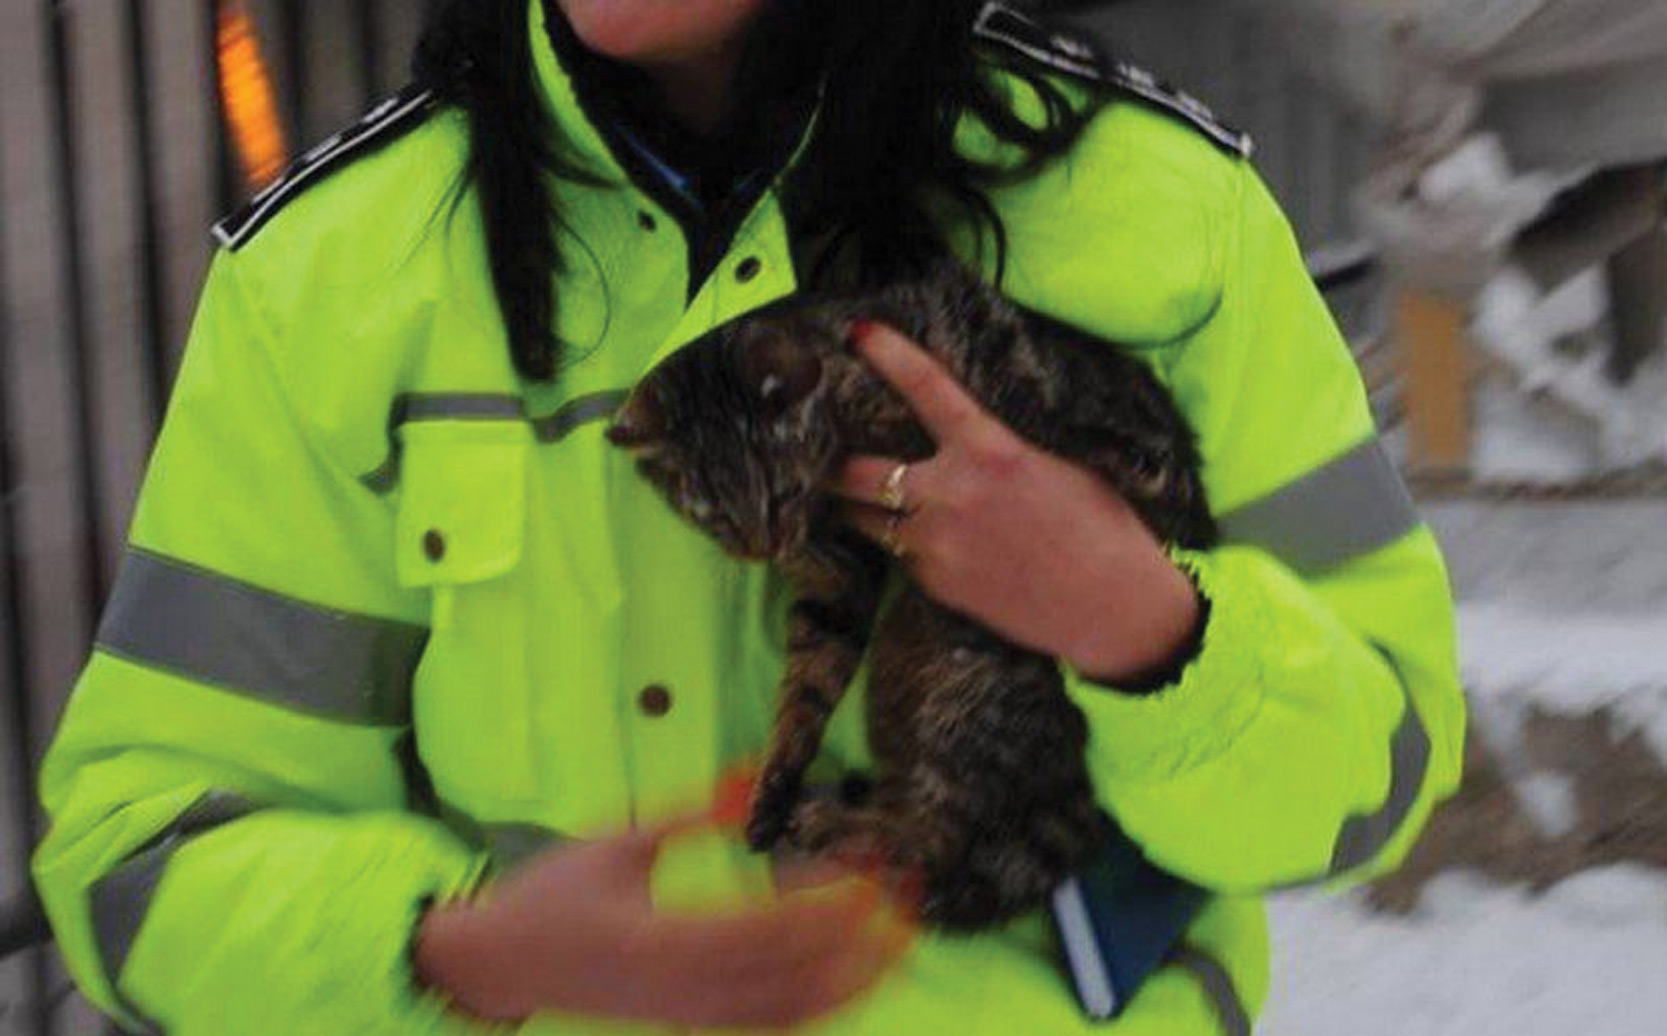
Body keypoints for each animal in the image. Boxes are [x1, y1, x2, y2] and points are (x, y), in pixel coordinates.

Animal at [607, 261, 1216, 930]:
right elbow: (809, 685)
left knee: (927, 843)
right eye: (712, 514)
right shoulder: (839, 577)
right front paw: (778, 772)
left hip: (969, 691)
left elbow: (1036, 418)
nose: (765, 547)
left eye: (780, 494)